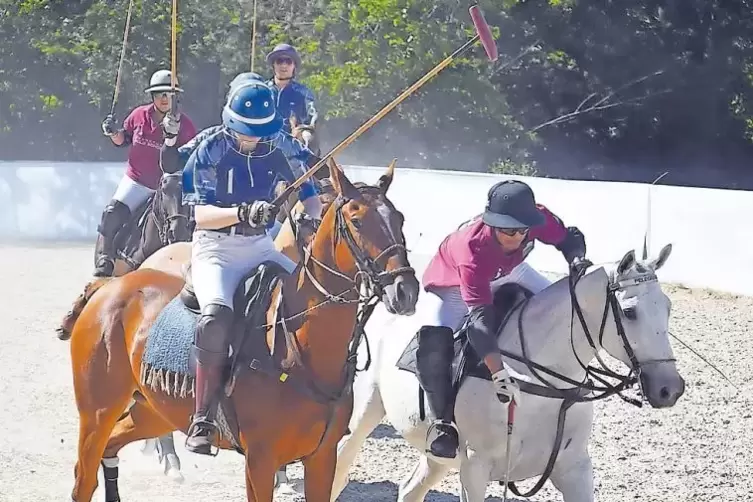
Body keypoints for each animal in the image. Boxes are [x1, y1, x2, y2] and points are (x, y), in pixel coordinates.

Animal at [66, 162, 418, 502]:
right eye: (356, 221)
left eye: (399, 218)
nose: (406, 290)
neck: (298, 342)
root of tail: (108, 286)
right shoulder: (260, 459)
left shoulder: (322, 457)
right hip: (97, 410)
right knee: (84, 478)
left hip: (154, 409)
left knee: (113, 443)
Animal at [328, 246, 680, 502]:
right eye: (629, 312)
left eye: (668, 306)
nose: (671, 388)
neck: (544, 384)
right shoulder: (475, 468)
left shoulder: (575, 467)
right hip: (365, 411)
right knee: (340, 469)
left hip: (435, 454)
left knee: (410, 489)